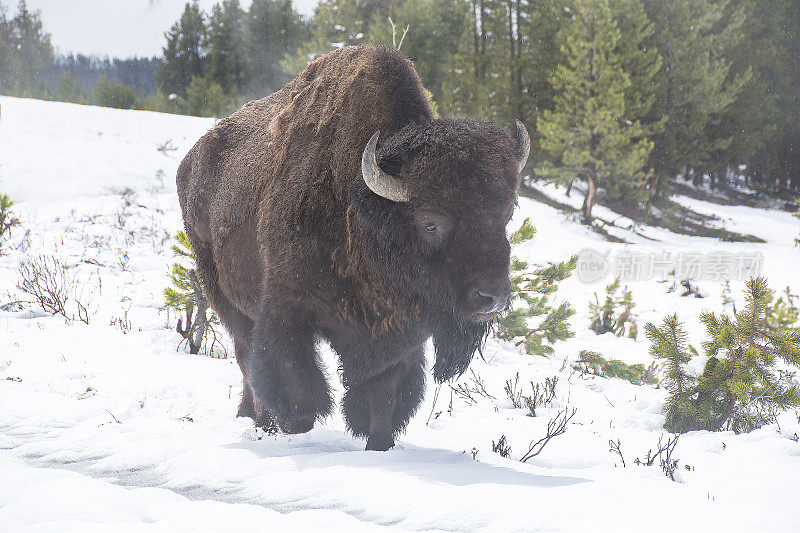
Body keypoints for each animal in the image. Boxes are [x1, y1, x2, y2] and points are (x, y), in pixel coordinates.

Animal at [177, 47, 528, 450]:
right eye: (431, 223)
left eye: (506, 213)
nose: (492, 298)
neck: (361, 207)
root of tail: (191, 162)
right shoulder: (287, 310)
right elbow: (293, 386)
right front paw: (292, 427)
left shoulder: (397, 338)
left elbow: (384, 396)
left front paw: (379, 445)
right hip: (221, 291)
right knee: (245, 352)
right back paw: (257, 419)